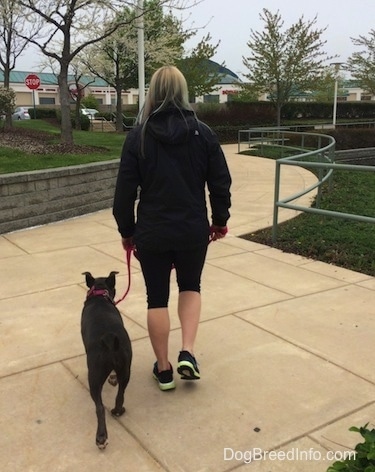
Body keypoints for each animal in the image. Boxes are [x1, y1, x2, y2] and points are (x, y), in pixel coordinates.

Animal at [81, 272, 132, 448]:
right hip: (126, 369)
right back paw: (118, 410)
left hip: (94, 378)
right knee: (120, 394)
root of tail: (109, 339)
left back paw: (101, 437)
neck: (99, 296)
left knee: (99, 407)